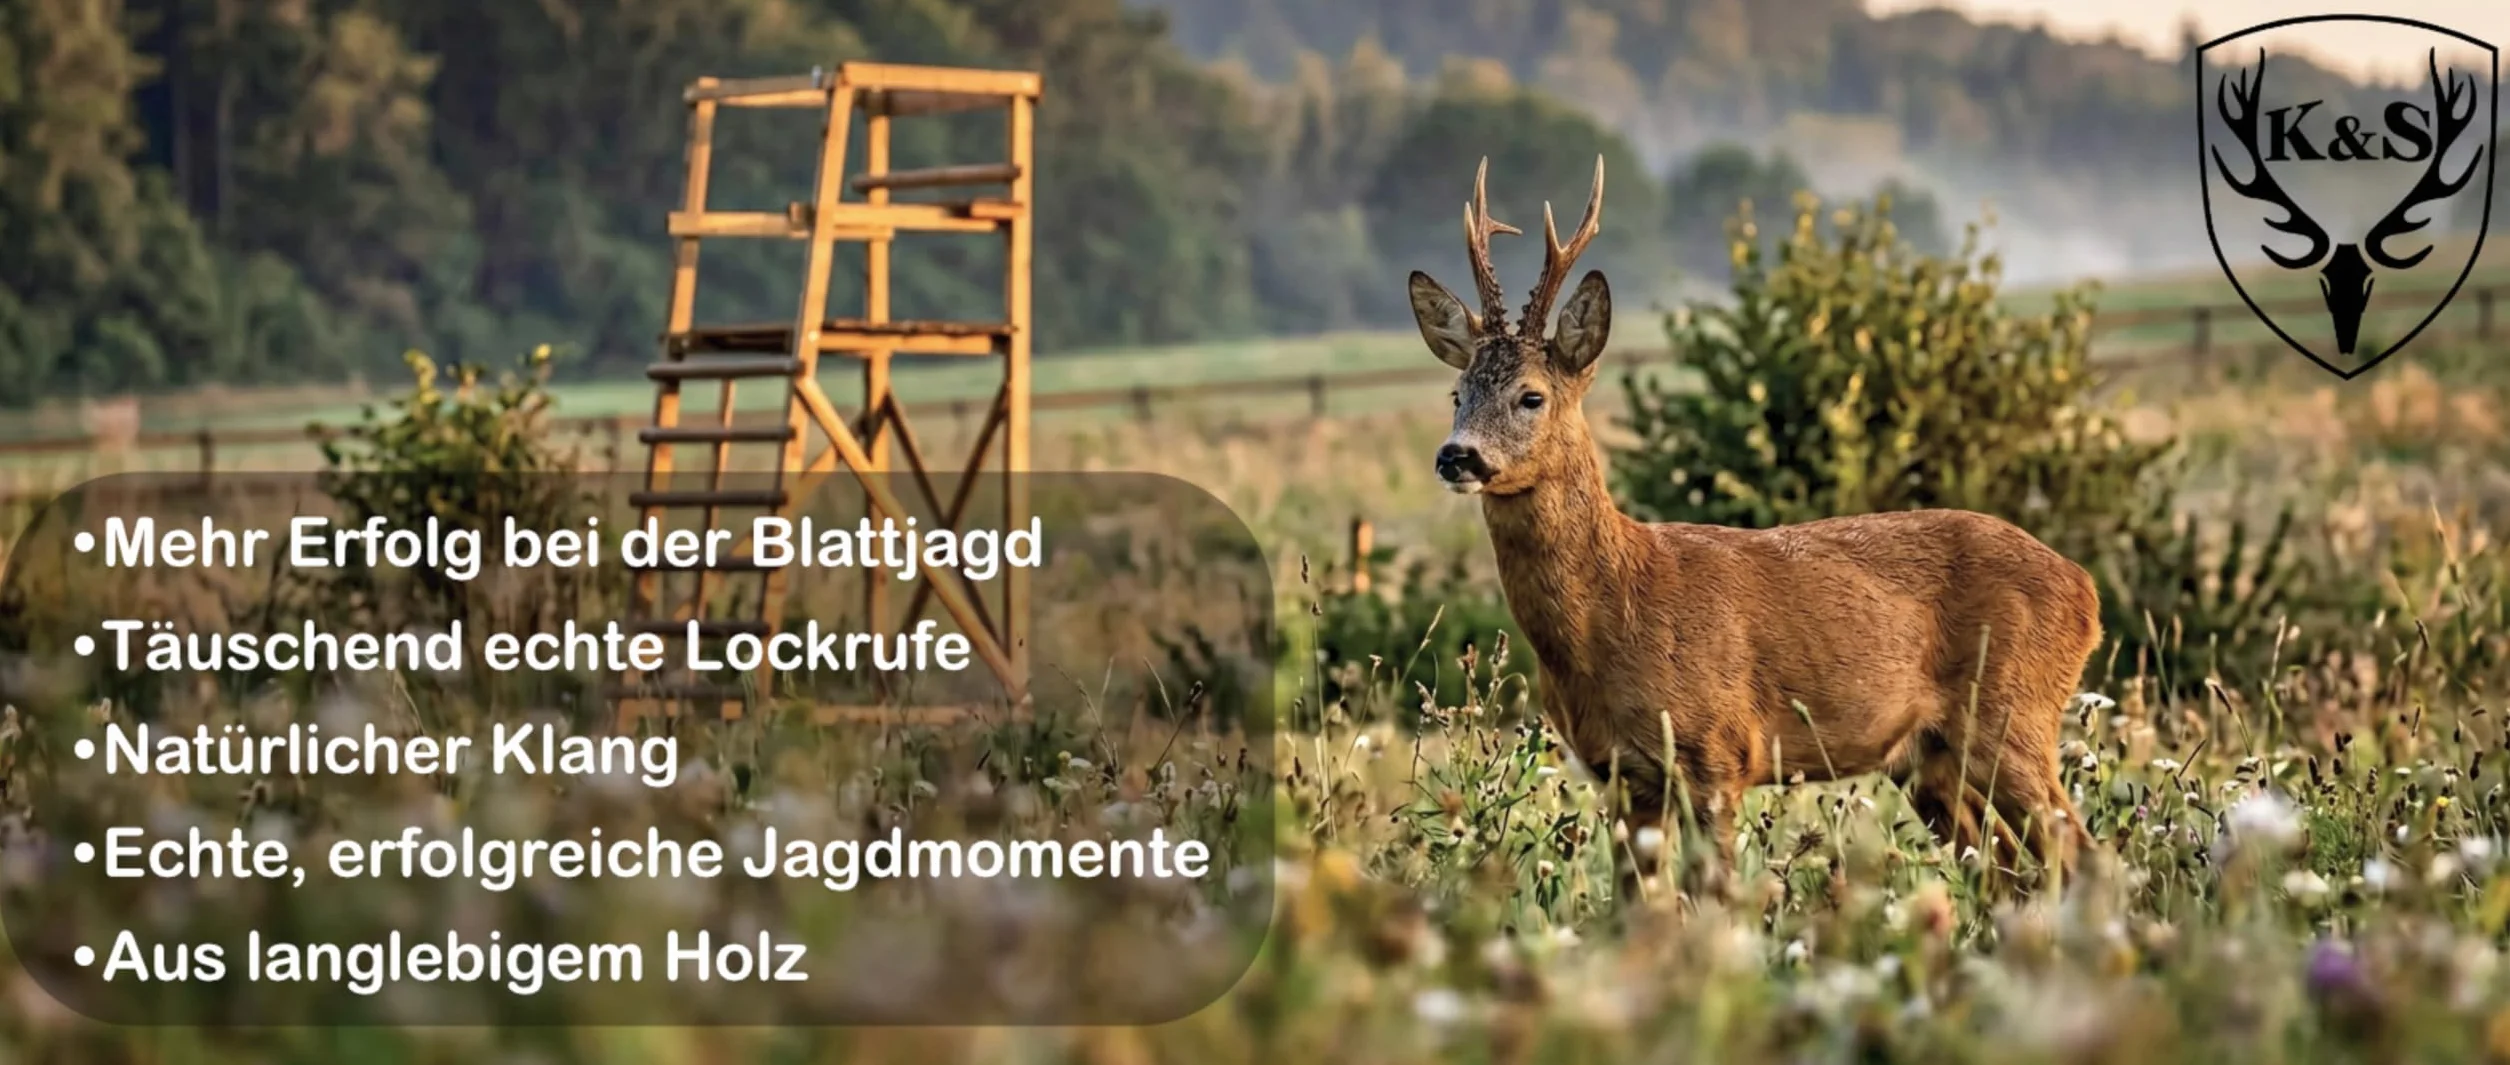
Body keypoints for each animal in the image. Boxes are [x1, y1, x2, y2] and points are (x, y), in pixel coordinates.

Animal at [1408, 157, 2103, 896]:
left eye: (1531, 395)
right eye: (1458, 393)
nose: (1457, 455)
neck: (1616, 610)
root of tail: (2086, 591)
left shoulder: (1717, 751)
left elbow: (1715, 895)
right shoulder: (1621, 776)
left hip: (2012, 713)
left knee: (2081, 854)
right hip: (1928, 759)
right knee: (2004, 869)